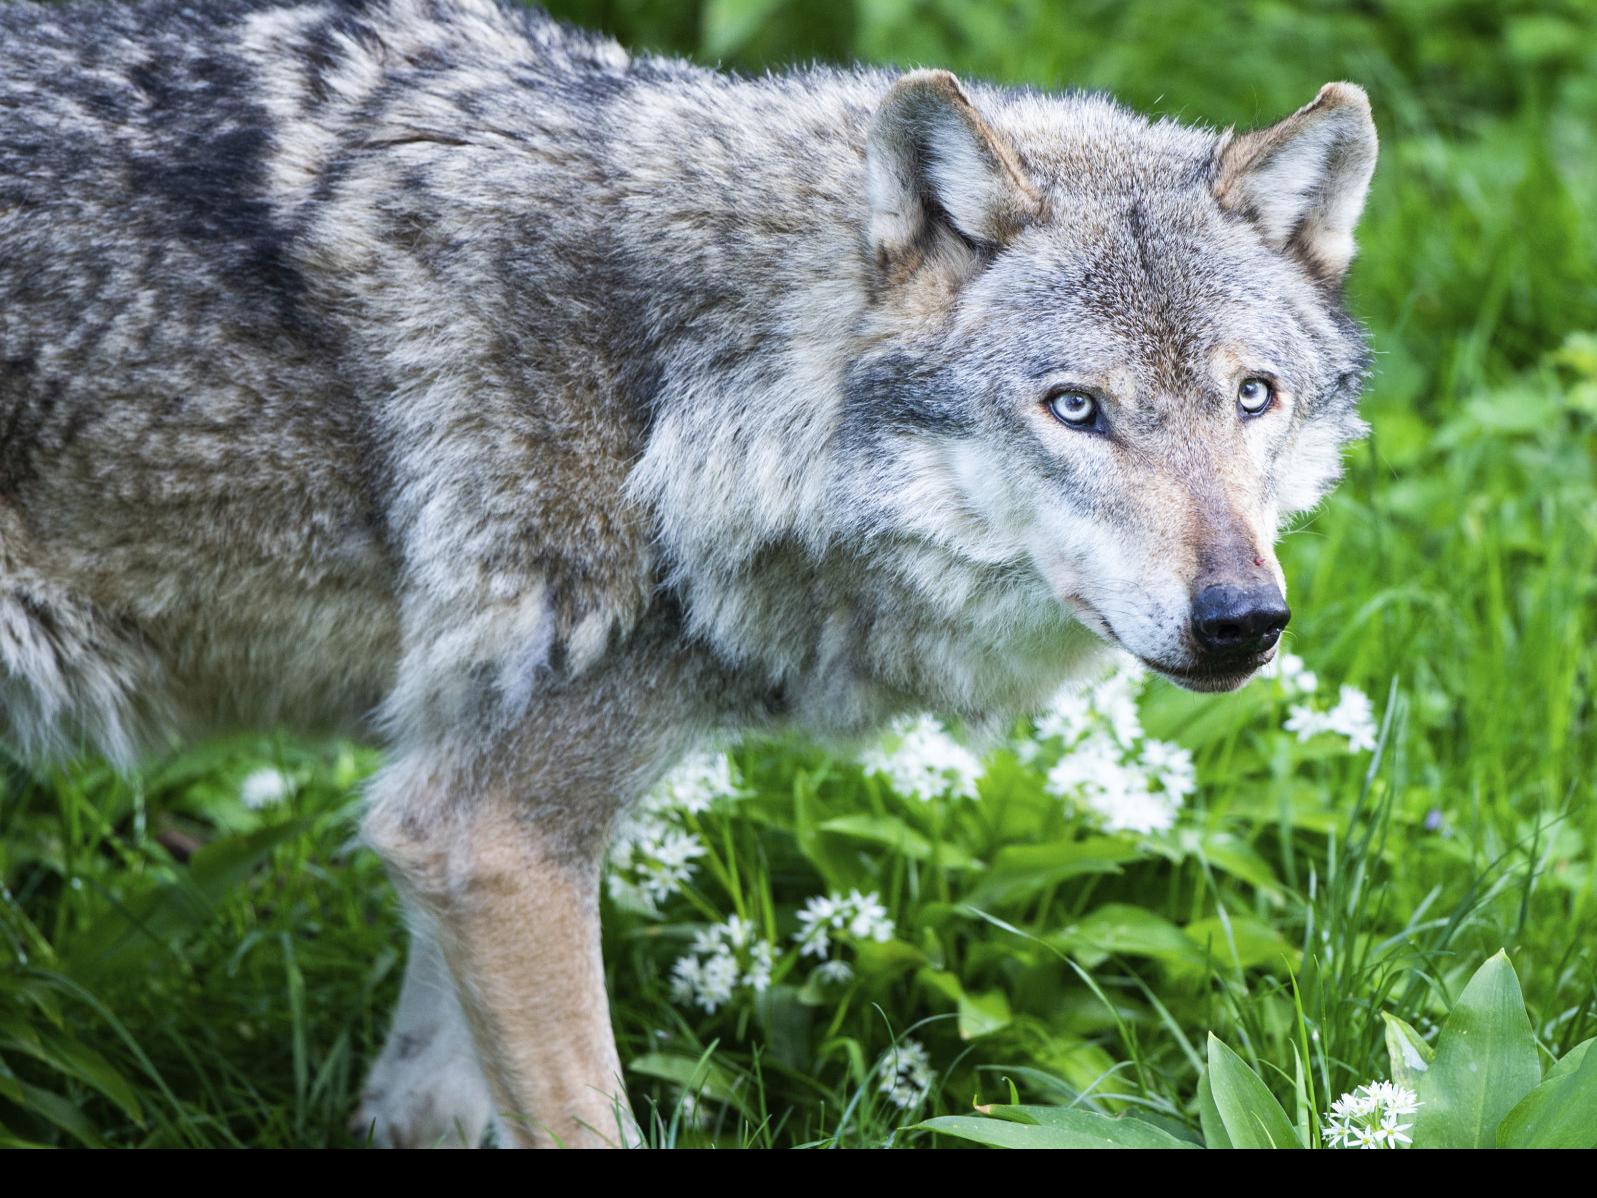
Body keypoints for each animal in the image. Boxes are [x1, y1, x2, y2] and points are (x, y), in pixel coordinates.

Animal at [0, 0, 1377, 1147]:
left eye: (1252, 396)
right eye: (1076, 409)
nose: (1242, 621)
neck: (679, 389)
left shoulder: (447, 828)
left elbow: (429, 1098)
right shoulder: (493, 835)